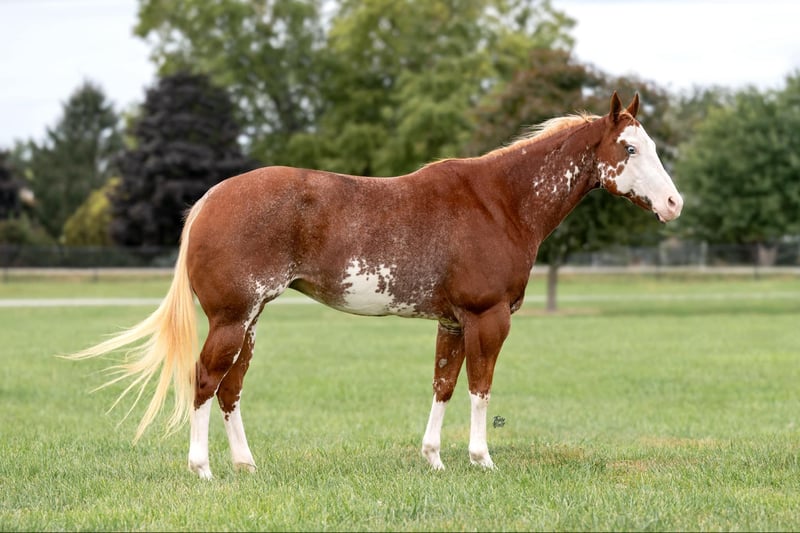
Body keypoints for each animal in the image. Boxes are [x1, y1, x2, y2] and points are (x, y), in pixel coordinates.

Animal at [68, 92, 683, 479]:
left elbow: (443, 385)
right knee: (203, 380)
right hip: (231, 319)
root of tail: (208, 201)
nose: (675, 203)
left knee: (229, 387)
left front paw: (434, 458)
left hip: (249, 322)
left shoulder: (452, 321)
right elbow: (481, 387)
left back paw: (245, 465)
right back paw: (202, 470)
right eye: (630, 148)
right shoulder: (488, 317)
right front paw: (481, 460)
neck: (499, 201)